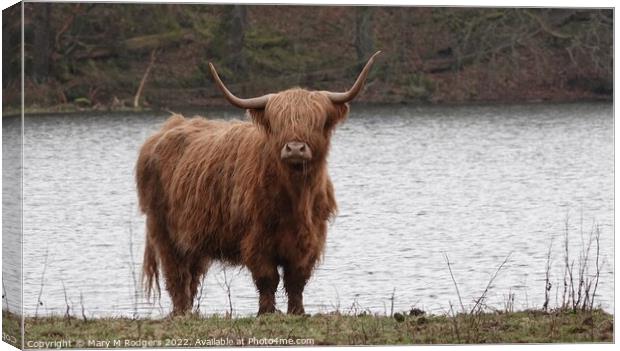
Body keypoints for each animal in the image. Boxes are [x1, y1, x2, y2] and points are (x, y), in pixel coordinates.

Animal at [136, 51, 380, 316]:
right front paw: (266, 312)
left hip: (193, 237)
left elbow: (297, 279)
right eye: (277, 123)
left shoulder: (310, 240)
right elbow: (267, 278)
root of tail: (167, 127)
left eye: (316, 121)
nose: (295, 148)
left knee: (192, 274)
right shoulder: (257, 239)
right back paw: (181, 312)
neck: (295, 196)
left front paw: (297, 311)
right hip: (163, 229)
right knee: (176, 273)